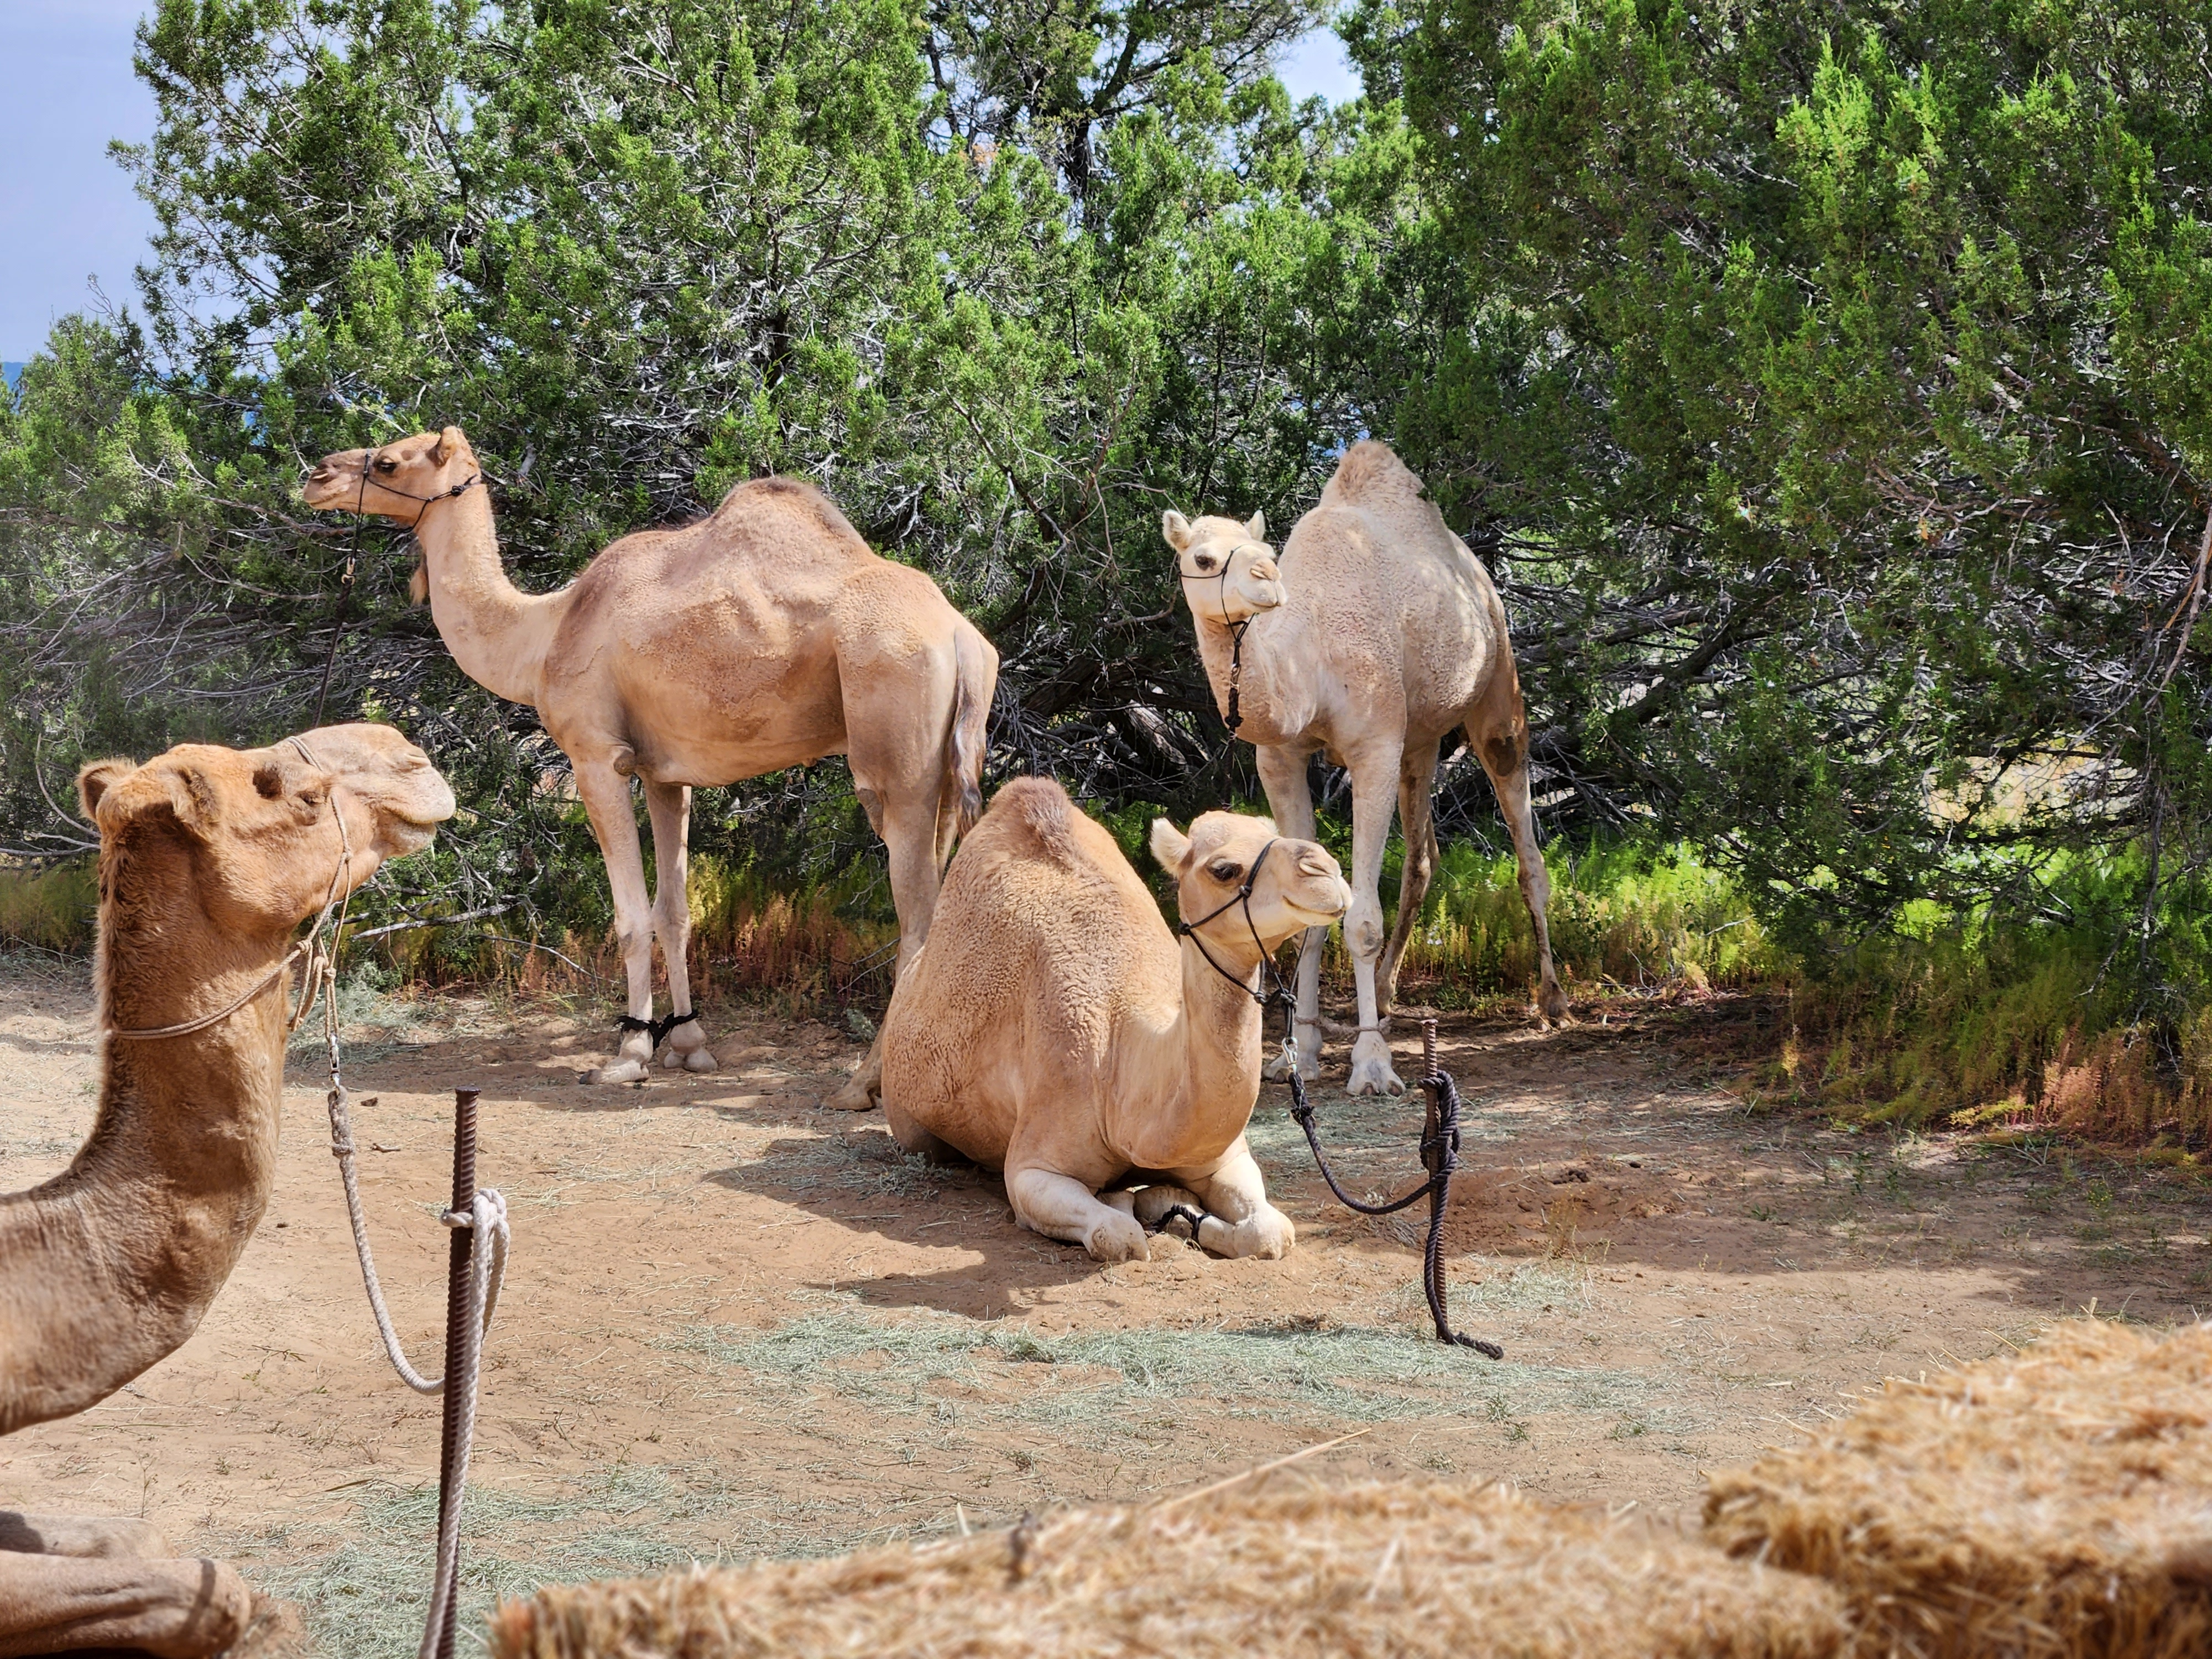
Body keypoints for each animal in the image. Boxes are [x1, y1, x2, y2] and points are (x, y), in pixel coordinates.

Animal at [307, 429, 1000, 1106]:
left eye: (388, 461)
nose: (317, 476)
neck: (544, 633)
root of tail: (960, 635)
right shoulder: (667, 775)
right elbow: (675, 912)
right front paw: (688, 1045)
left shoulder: (597, 759)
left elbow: (631, 916)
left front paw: (630, 1054)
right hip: (942, 770)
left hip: (895, 758)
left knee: (917, 916)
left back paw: (862, 1086)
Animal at [880, 779, 1345, 1256]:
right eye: (1224, 869)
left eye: (1270, 832)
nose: (1326, 871)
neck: (1118, 1070)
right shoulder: (1033, 1165)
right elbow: (1120, 1236)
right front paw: (1135, 1202)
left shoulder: (1224, 1159)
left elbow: (1271, 1232)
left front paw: (1172, 1202)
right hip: (911, 1122)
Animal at [1168, 438, 1566, 1106]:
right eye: (1203, 556)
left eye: (1265, 553)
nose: (1266, 582)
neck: (1310, 658)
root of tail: (1476, 573)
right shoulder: (1280, 758)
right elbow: (1306, 914)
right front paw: (1298, 1055)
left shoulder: (1374, 745)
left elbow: (1360, 919)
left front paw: (1373, 1065)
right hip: (1422, 740)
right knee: (1423, 858)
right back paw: (1382, 993)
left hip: (1497, 692)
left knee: (1527, 849)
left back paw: (1553, 1001)